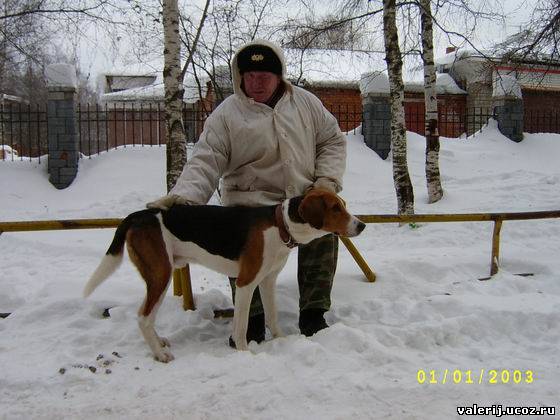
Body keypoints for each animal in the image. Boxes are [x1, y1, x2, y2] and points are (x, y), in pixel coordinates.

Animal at [82, 189, 364, 362]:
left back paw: (159, 342)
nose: (361, 225)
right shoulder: (246, 283)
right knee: (143, 317)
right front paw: (245, 353)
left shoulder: (267, 281)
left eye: (343, 206)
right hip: (160, 275)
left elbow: (272, 317)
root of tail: (137, 215)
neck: (279, 224)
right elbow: (241, 325)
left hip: (160, 275)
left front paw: (282, 341)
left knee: (147, 318)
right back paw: (159, 355)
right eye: (335, 208)